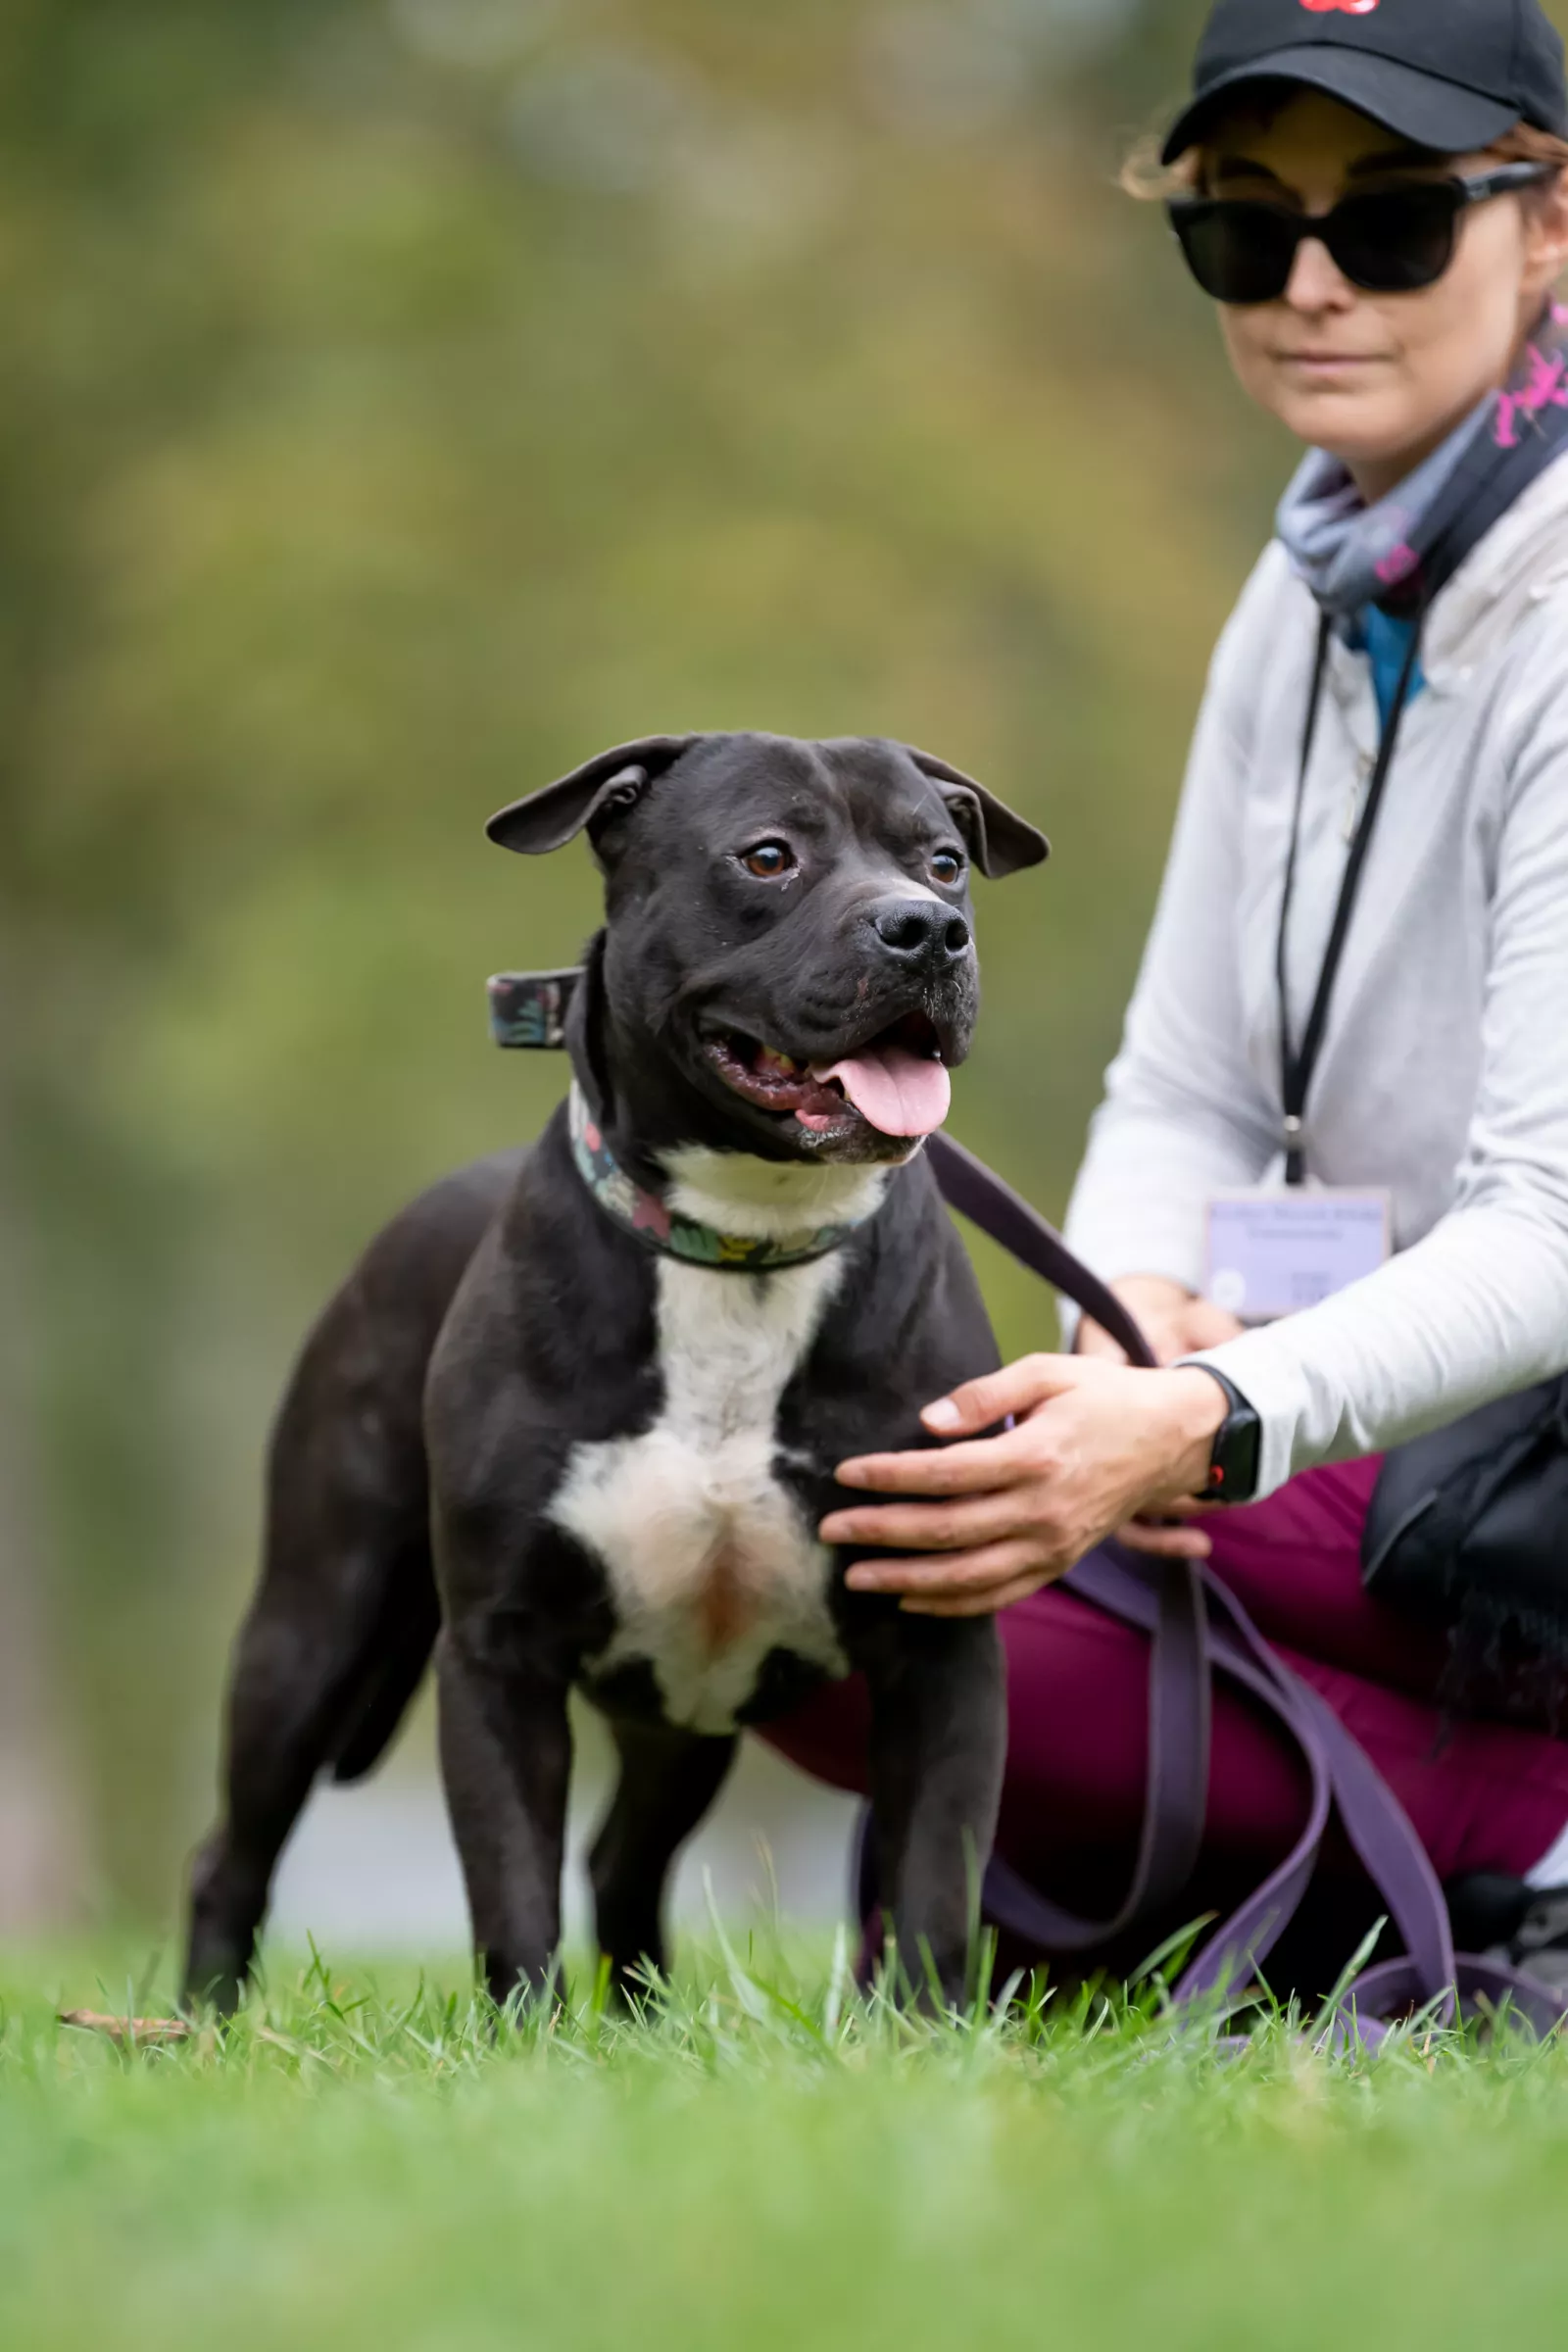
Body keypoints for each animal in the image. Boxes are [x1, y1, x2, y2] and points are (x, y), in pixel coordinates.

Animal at [183, 731, 1047, 2013]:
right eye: (768, 856)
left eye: (942, 860)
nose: (927, 929)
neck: (744, 1243)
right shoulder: (498, 1652)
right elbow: (510, 1886)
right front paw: (525, 2041)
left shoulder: (939, 1644)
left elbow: (938, 1879)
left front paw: (934, 2033)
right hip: (310, 1626)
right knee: (234, 1849)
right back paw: (199, 2021)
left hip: (686, 1703)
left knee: (621, 1858)